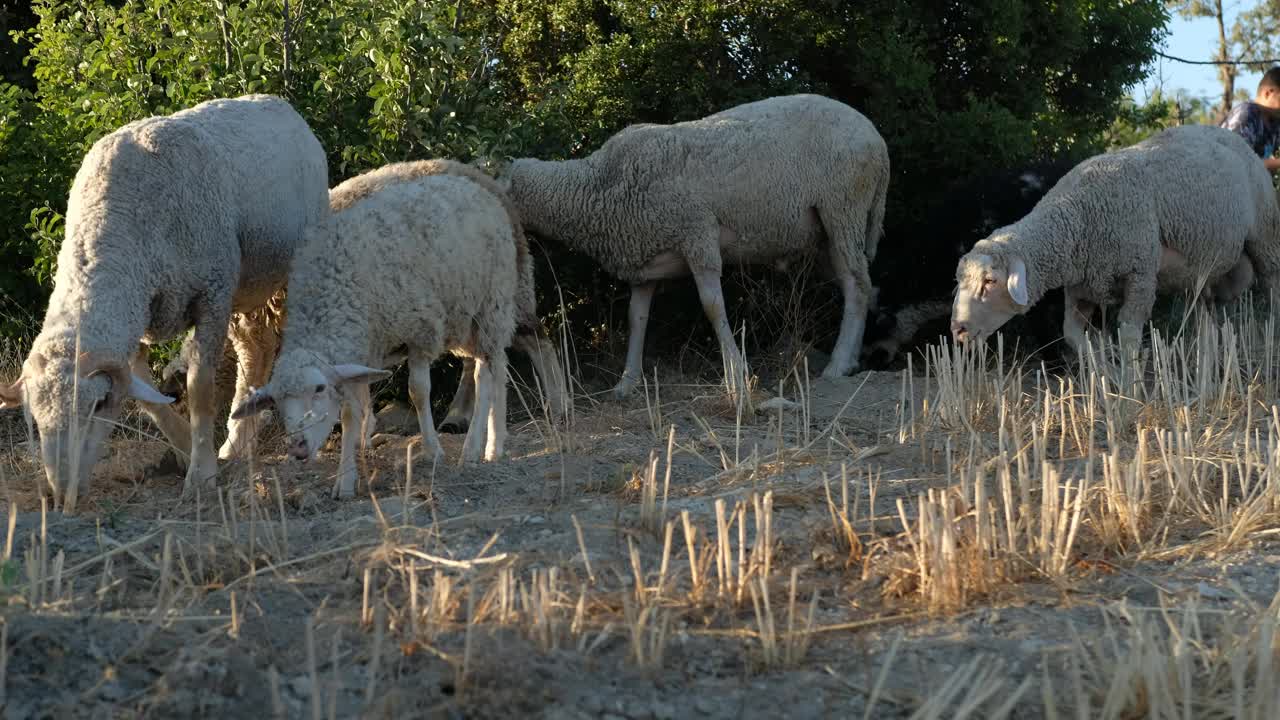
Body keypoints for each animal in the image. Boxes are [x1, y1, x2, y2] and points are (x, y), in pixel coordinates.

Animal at [0, 94, 327, 509]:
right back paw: (236, 444)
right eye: (35, 423)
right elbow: (150, 400)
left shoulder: (212, 294)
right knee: (256, 349)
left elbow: (199, 390)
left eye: (96, 406)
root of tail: (278, 102)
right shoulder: (137, 321)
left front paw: (201, 473)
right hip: (247, 286)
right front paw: (190, 449)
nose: (62, 497)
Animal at [231, 162, 524, 499]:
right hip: (470, 316)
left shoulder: (418, 331)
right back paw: (495, 444)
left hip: (491, 303)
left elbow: (418, 392)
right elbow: (353, 411)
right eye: (277, 401)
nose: (298, 449)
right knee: (497, 366)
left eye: (318, 388)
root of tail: (473, 184)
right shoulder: (362, 346)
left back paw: (473, 448)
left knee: (484, 374)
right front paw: (346, 477)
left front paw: (433, 450)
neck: (332, 292)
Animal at [494, 90, 885, 397]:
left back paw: (837, 366)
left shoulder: (698, 234)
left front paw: (736, 377)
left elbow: (713, 307)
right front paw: (626, 383)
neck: (600, 185)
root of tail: (876, 138)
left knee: (857, 285)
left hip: (843, 207)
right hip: (827, 232)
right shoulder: (645, 259)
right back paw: (850, 360)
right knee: (861, 284)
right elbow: (636, 319)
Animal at [947, 126, 1274, 358]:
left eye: (990, 281)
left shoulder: (1140, 276)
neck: (1077, 215)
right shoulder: (1081, 288)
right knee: (1206, 312)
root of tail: (1226, 134)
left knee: (1272, 286)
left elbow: (1128, 336)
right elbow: (1073, 336)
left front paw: (1130, 390)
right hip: (1201, 268)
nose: (958, 330)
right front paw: (1104, 374)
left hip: (1265, 237)